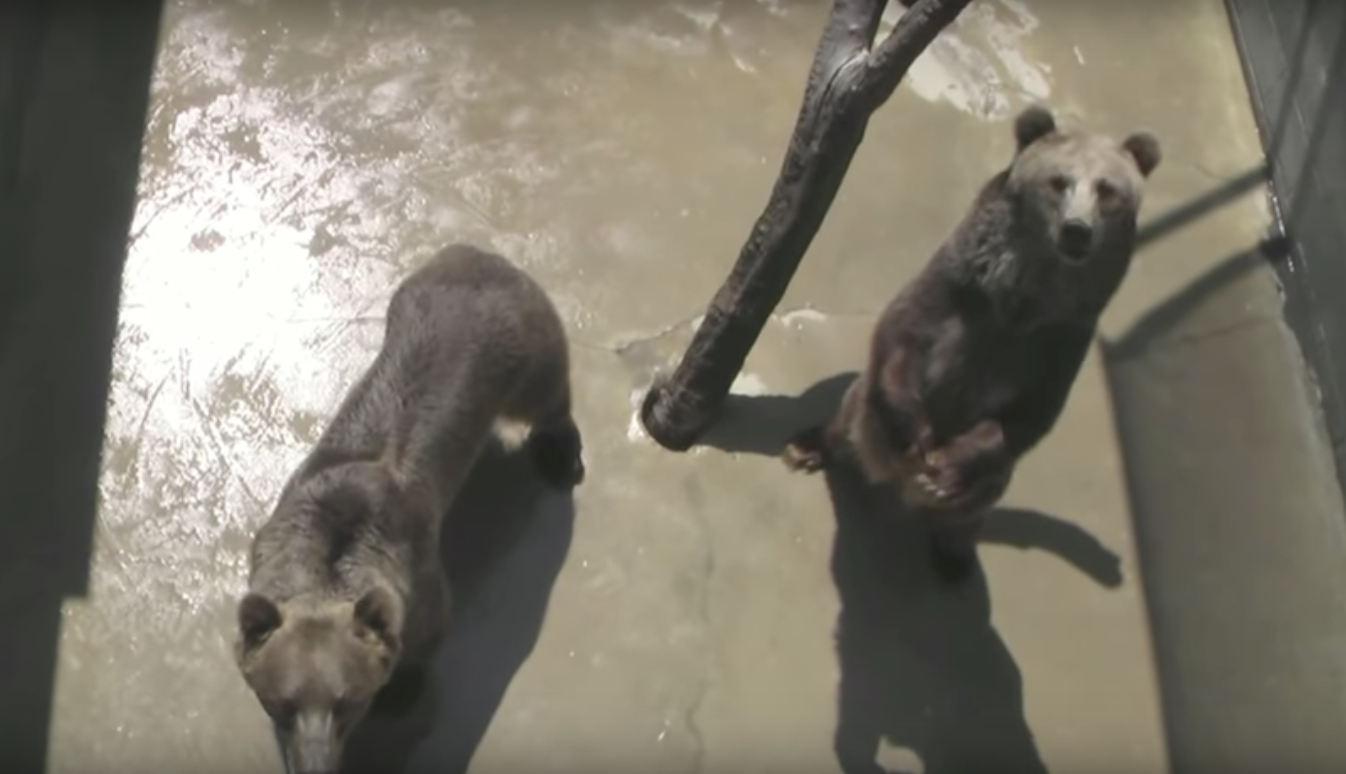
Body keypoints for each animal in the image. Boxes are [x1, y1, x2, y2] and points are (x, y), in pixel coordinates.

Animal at [233, 243, 585, 774]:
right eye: (282, 702)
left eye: (348, 702)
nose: (316, 764)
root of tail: (480, 252)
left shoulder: (418, 576)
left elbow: (426, 636)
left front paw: (405, 688)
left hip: (526, 341)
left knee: (547, 394)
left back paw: (559, 453)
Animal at [784, 104, 1161, 581]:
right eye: (1059, 180)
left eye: (1107, 189)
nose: (1077, 231)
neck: (1022, 299)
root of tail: (887, 477)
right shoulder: (955, 290)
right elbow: (899, 335)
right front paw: (918, 438)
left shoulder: (1060, 340)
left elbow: (1027, 415)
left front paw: (943, 468)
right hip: (865, 417)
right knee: (849, 417)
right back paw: (807, 446)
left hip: (990, 485)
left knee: (970, 508)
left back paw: (954, 555)